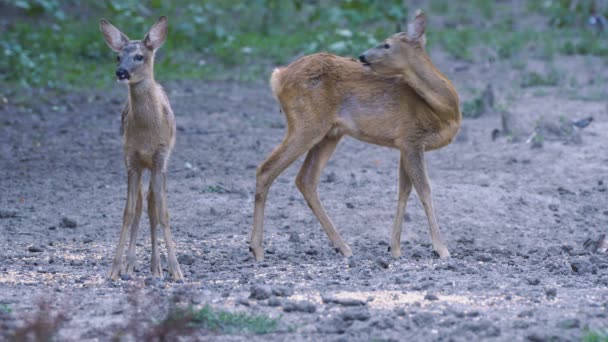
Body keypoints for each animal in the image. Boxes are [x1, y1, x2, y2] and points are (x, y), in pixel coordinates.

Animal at [100, 16, 183, 282]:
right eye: (117, 57)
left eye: (139, 56)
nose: (121, 72)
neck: (146, 134)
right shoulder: (131, 160)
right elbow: (128, 212)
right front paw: (115, 269)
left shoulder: (160, 160)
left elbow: (162, 213)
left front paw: (176, 271)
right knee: (139, 206)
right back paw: (131, 265)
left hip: (163, 166)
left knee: (152, 205)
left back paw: (157, 267)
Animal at [249, 10, 458, 262]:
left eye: (386, 44)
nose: (362, 55)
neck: (445, 109)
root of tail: (278, 76)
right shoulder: (412, 138)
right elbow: (424, 190)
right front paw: (442, 249)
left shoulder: (404, 143)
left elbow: (404, 191)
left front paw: (395, 249)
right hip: (306, 125)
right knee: (266, 169)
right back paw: (257, 249)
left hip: (330, 133)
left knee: (305, 179)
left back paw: (343, 247)